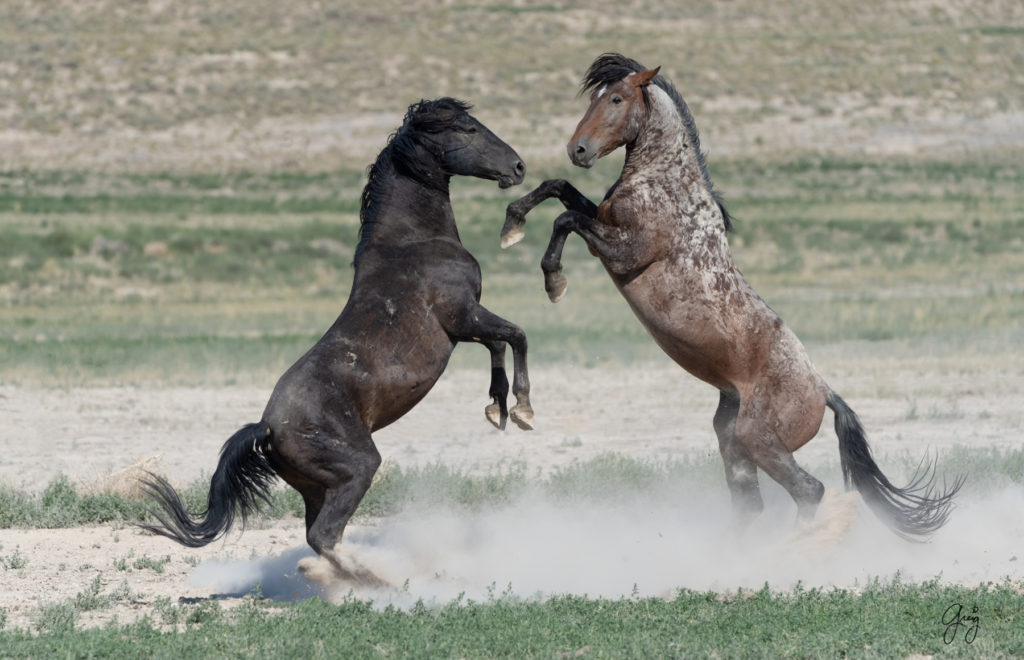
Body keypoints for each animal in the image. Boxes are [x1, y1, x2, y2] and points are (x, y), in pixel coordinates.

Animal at [139, 99, 532, 581]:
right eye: (468, 128)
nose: (517, 166)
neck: (413, 242)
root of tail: (267, 428)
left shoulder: (469, 323)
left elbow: (499, 345)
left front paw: (497, 407)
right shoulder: (463, 316)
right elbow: (516, 336)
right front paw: (523, 409)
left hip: (315, 488)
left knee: (317, 536)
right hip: (357, 468)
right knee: (326, 536)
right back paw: (386, 581)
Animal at [501, 55, 958, 540]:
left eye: (618, 99)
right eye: (595, 97)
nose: (579, 150)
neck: (664, 181)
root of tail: (824, 391)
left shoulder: (624, 252)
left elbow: (566, 219)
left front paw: (553, 280)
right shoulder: (603, 225)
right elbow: (558, 189)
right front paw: (512, 222)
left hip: (760, 441)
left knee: (808, 490)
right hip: (732, 439)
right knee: (749, 503)